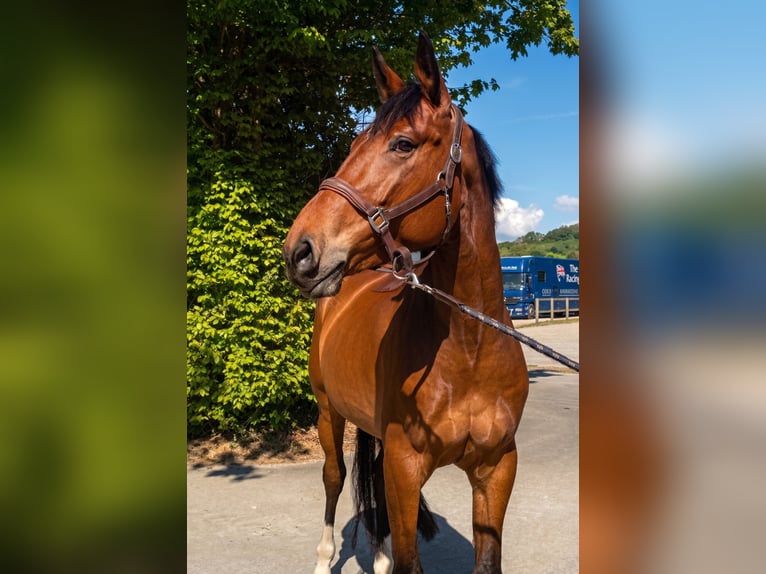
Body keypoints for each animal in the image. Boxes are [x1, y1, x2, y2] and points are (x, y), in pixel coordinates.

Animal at [282, 32, 529, 574]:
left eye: (403, 144)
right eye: (354, 146)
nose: (299, 251)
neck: (470, 349)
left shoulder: (497, 469)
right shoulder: (405, 466)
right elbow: (406, 555)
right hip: (328, 411)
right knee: (334, 477)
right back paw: (324, 557)